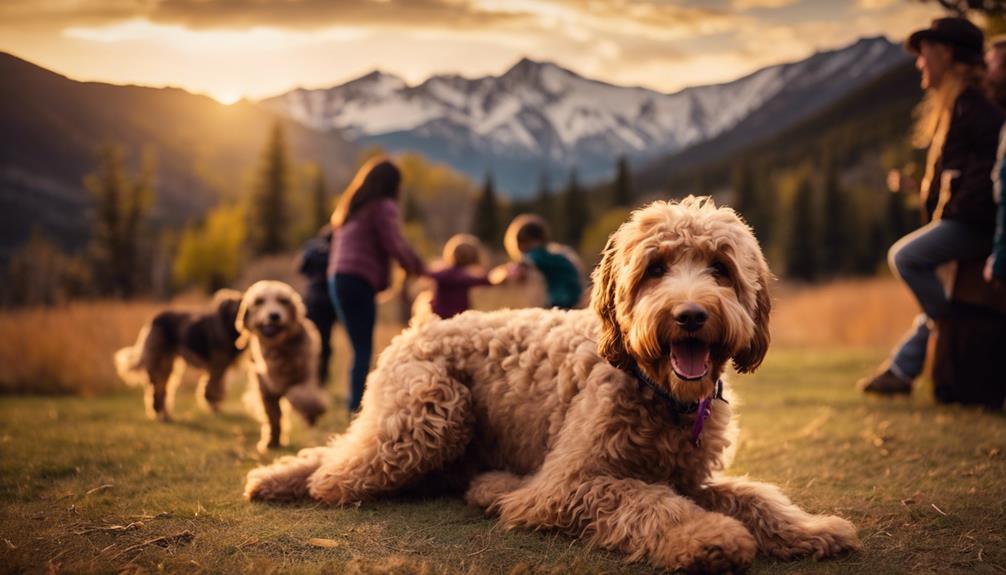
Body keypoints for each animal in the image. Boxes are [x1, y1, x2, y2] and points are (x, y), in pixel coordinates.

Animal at [113, 289, 243, 420]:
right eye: (237, 308)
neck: (227, 324)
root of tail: (153, 320)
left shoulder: (221, 368)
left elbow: (219, 388)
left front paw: (216, 407)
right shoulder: (216, 366)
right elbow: (212, 389)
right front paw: (213, 408)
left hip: (167, 364)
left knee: (162, 390)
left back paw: (165, 414)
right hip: (159, 363)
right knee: (156, 390)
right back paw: (160, 415)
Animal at [236, 281, 327, 452]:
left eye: (283, 301)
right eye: (259, 301)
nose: (274, 315)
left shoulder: (304, 378)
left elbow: (300, 394)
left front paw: (313, 411)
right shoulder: (265, 390)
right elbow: (273, 417)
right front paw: (272, 441)